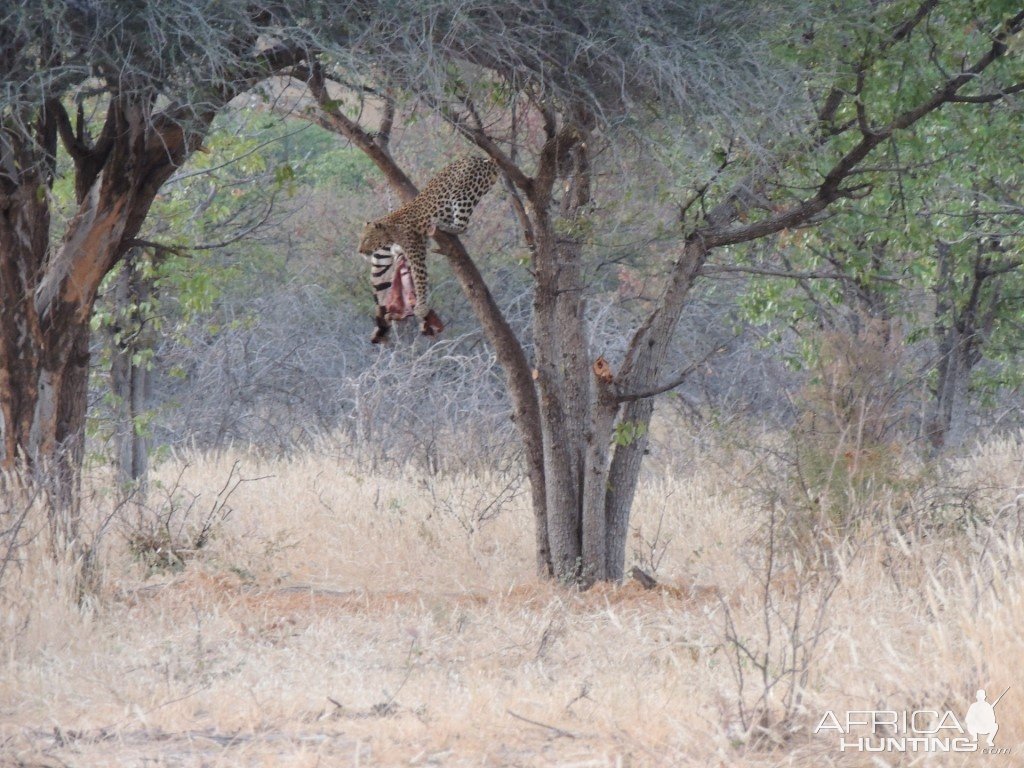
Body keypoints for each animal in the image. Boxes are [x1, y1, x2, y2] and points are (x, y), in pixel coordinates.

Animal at [358, 154, 497, 342]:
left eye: (366, 239)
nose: (359, 251)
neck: (390, 230)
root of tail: (482, 159)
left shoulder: (415, 250)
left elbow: (420, 278)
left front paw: (421, 307)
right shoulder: (419, 244)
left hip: (461, 193)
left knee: (463, 225)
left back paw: (446, 225)